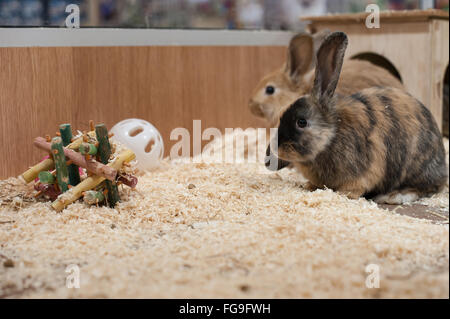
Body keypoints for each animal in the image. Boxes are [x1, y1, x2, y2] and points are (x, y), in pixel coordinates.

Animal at [266, 32, 448, 205]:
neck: (332, 136)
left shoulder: (365, 171)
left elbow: (355, 187)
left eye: (301, 122)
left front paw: (343, 194)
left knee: (427, 187)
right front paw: (309, 185)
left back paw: (394, 196)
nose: (275, 148)